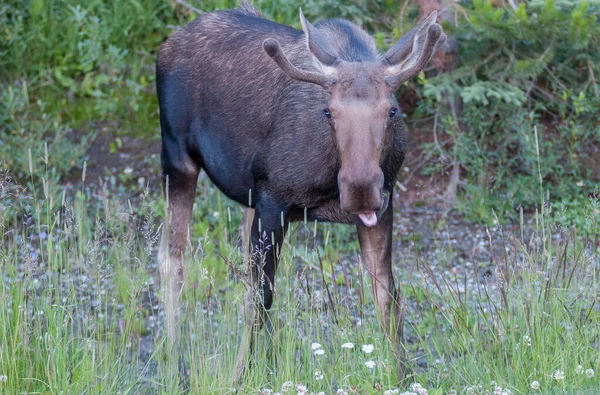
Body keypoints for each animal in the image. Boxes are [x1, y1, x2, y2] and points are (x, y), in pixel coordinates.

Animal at [155, 2, 446, 386]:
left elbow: (387, 297)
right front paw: (241, 378)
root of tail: (169, 42)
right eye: (329, 112)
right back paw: (175, 366)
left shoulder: (384, 207)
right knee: (172, 259)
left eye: (392, 110)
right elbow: (261, 298)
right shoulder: (273, 202)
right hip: (178, 159)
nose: (360, 189)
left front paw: (404, 378)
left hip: (246, 196)